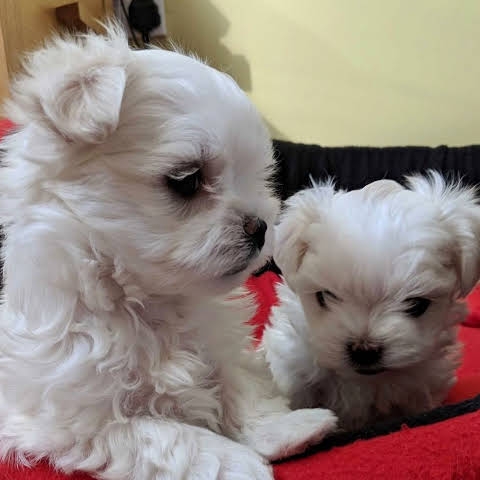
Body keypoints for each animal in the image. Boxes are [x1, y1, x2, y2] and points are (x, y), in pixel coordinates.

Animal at [0, 25, 338, 480]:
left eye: (260, 175)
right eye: (187, 179)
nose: (260, 226)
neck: (151, 301)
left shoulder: (221, 345)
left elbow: (242, 383)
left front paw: (286, 428)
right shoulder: (82, 417)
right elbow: (165, 435)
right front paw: (238, 463)